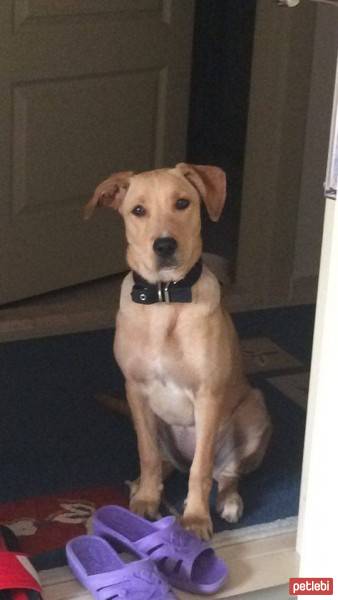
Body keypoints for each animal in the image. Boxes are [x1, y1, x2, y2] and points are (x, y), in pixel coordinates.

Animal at [85, 163, 272, 540]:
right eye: (138, 210)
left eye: (183, 203)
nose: (164, 245)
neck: (165, 299)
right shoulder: (135, 390)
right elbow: (146, 454)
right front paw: (146, 500)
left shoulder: (208, 396)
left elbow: (201, 471)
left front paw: (196, 519)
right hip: (156, 423)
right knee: (164, 462)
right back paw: (143, 486)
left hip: (253, 410)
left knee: (223, 472)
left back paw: (228, 500)